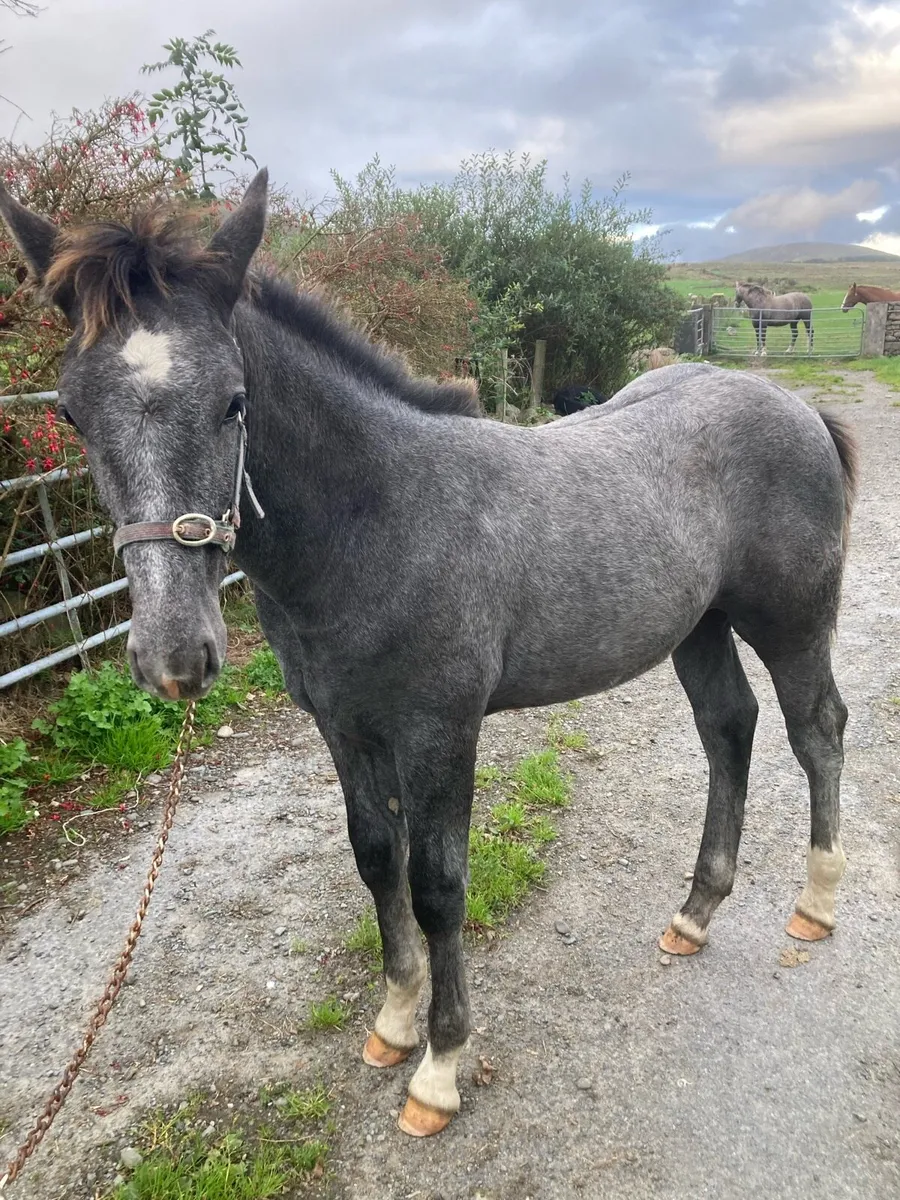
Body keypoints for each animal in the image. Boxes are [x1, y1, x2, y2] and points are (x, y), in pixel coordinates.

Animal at [0, 172, 857, 1140]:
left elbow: (439, 884)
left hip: (790, 622)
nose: (175, 654)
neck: (380, 516)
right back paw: (696, 913)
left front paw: (439, 1070)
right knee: (728, 729)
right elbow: (377, 859)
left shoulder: (439, 732)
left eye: (234, 401)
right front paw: (394, 1023)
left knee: (816, 731)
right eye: (71, 410)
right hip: (700, 627)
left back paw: (815, 904)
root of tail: (798, 409)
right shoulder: (344, 728)